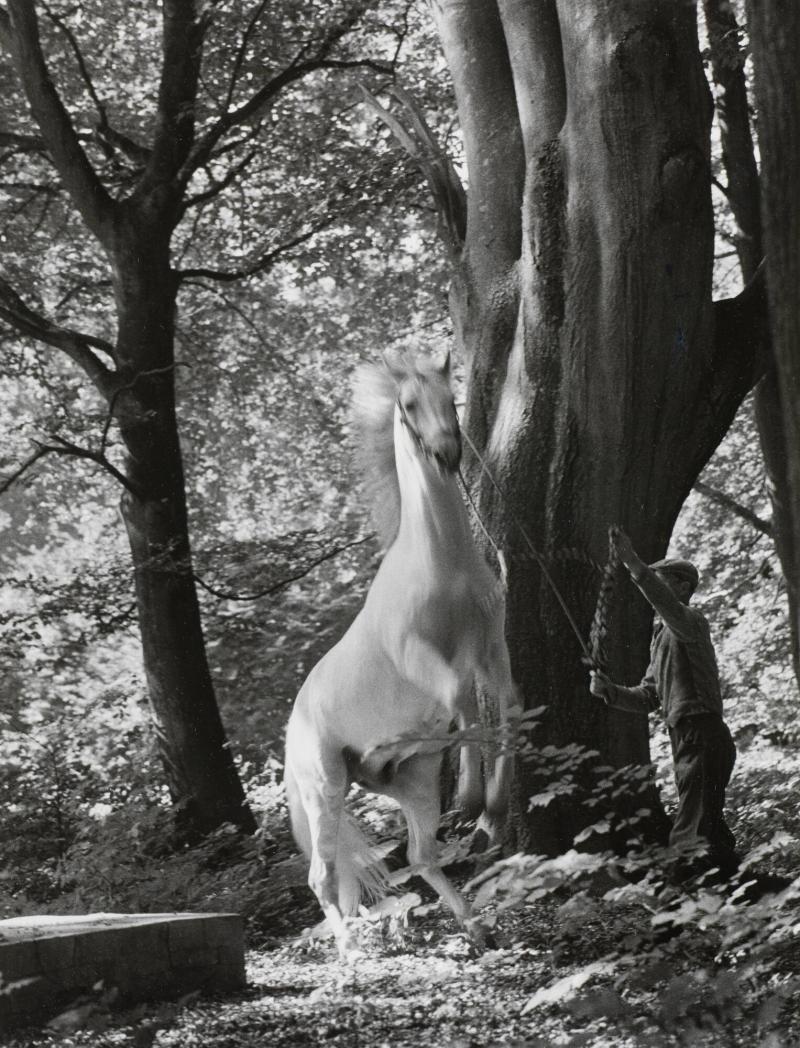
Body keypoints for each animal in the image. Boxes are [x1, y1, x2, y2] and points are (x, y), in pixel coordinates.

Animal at [285, 347, 515, 955]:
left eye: (450, 397)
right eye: (408, 404)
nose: (448, 451)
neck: (440, 566)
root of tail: (291, 726)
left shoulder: (492, 647)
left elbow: (505, 708)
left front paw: (496, 800)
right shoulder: (425, 660)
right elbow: (465, 703)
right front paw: (476, 797)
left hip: (411, 781)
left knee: (419, 855)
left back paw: (475, 926)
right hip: (324, 788)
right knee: (323, 875)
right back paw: (350, 951)